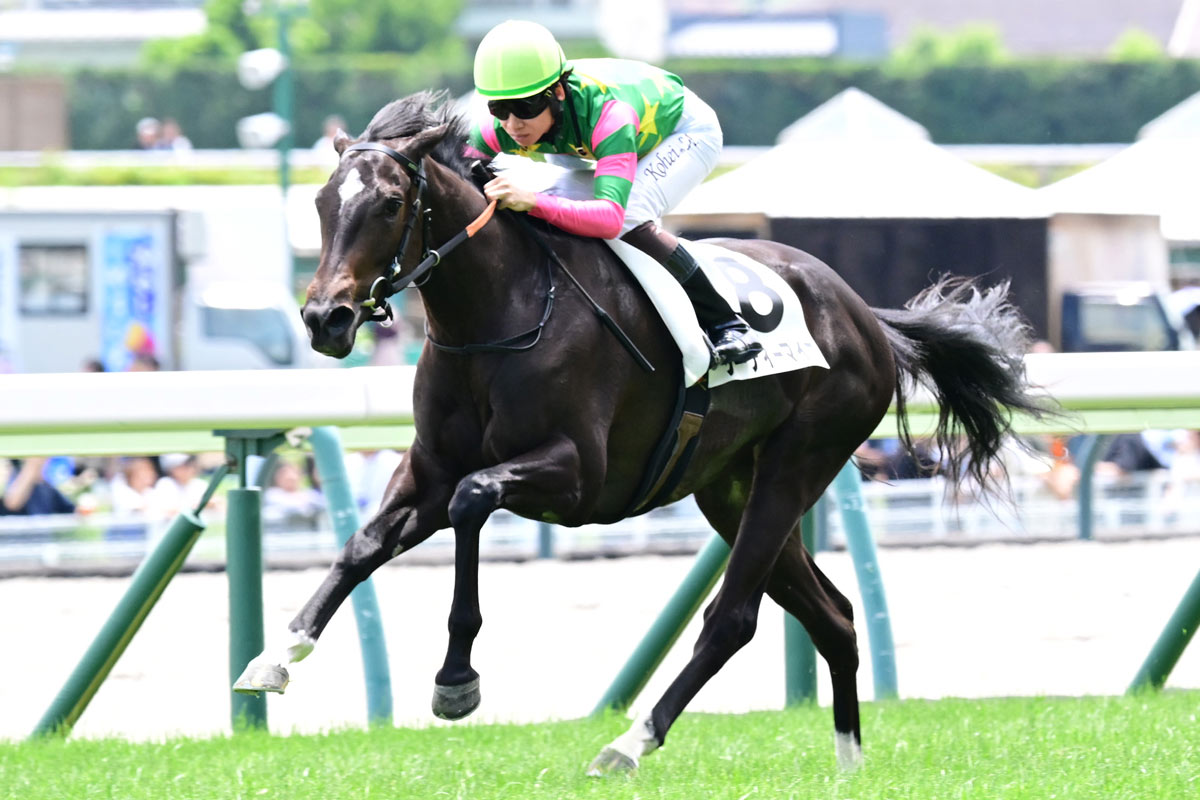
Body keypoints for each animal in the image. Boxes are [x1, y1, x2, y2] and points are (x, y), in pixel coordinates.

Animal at [236, 90, 1051, 775]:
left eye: (390, 203)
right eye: (322, 202)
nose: (326, 318)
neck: (501, 312)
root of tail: (866, 316)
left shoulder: (577, 477)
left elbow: (474, 499)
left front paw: (456, 680)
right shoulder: (429, 469)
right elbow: (364, 545)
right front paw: (276, 657)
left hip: (797, 464)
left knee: (733, 618)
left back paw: (630, 742)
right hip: (730, 489)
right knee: (836, 616)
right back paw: (849, 765)